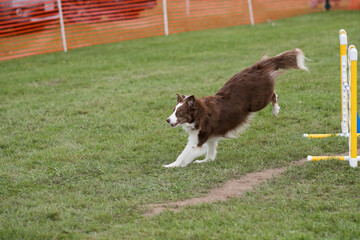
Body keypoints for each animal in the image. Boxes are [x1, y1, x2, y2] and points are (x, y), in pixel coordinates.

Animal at [165, 49, 308, 167]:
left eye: (180, 112)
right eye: (173, 110)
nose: (167, 120)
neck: (199, 114)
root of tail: (257, 67)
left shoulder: (198, 140)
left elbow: (183, 154)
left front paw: (172, 165)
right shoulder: (209, 137)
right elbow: (210, 151)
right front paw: (205, 161)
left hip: (258, 102)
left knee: (273, 95)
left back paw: (275, 109)